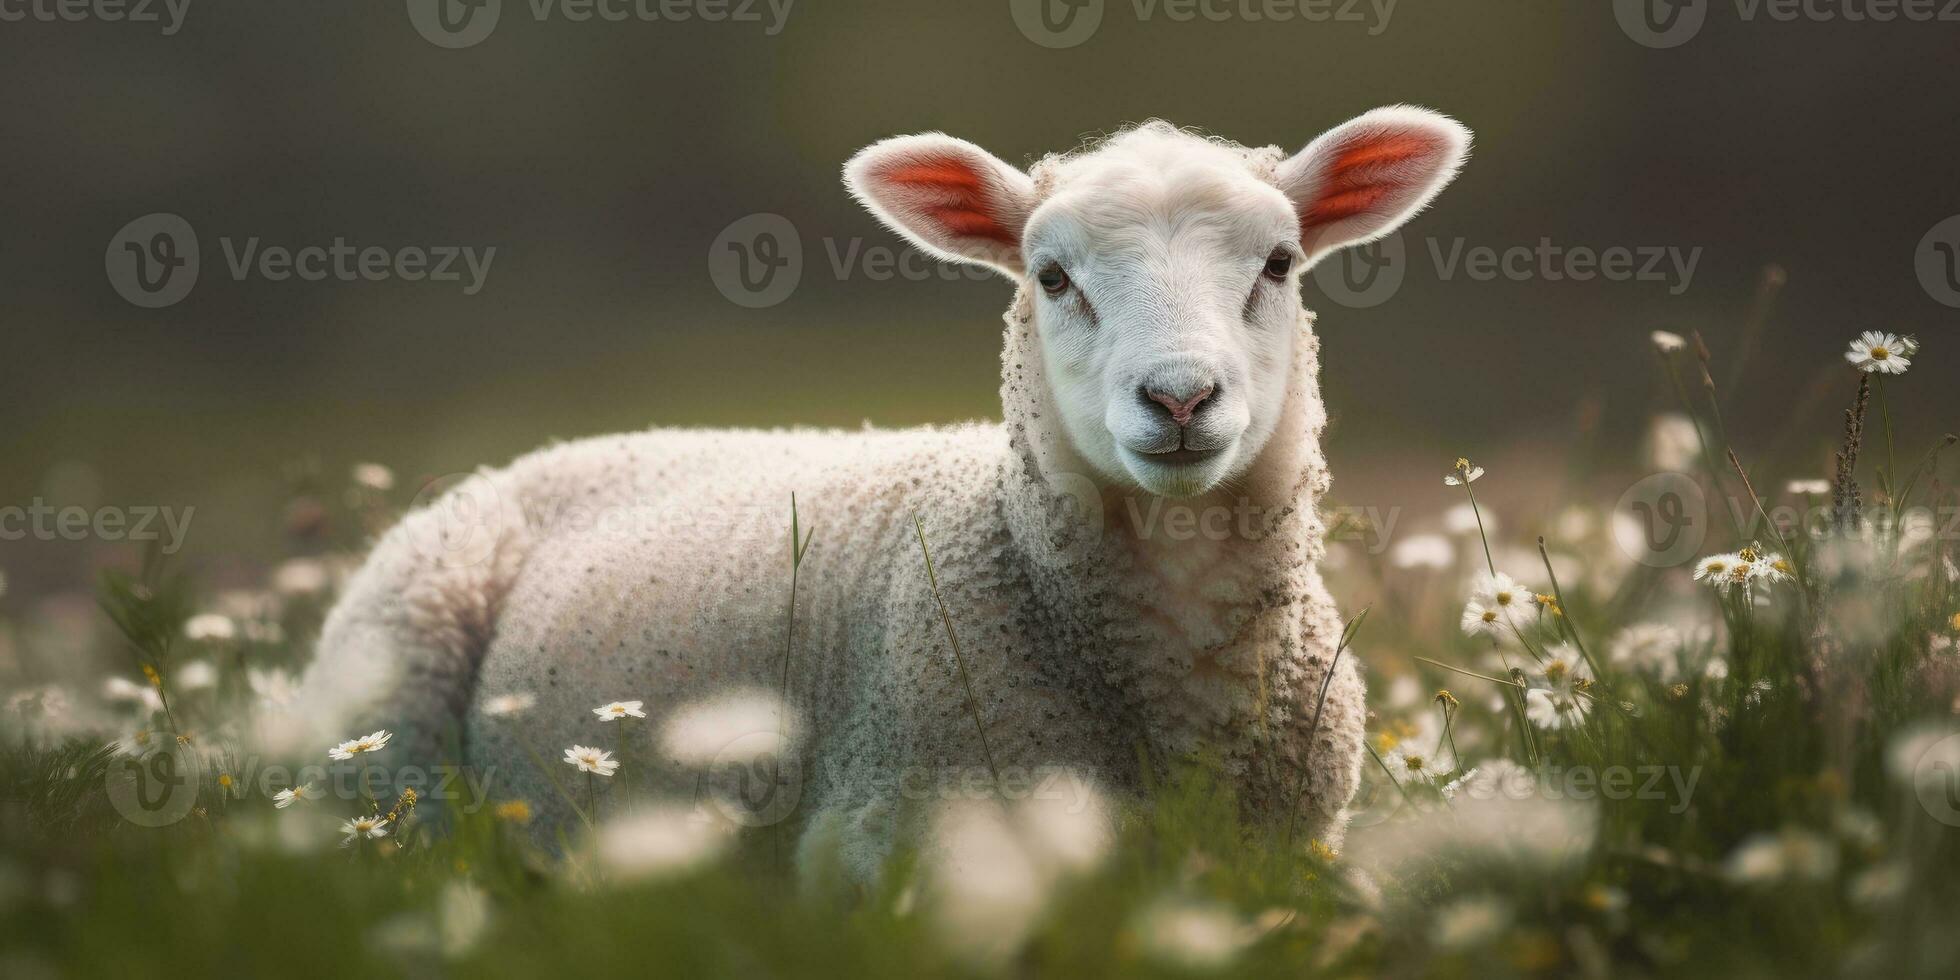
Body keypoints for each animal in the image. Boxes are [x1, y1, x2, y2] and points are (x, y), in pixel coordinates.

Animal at [294, 107, 1473, 882]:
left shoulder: (1298, 854)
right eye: (1050, 277)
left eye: (1279, 263)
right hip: (385, 727)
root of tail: (529, 459)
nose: (1179, 397)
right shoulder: (881, 835)